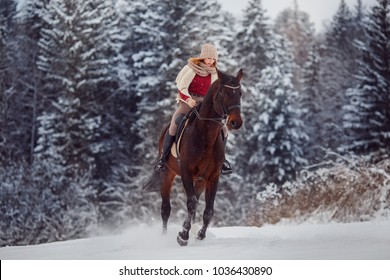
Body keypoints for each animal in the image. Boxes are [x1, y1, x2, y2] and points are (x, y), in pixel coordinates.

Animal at [145, 68, 242, 245]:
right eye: (224, 93)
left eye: (240, 93)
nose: (236, 122)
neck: (206, 136)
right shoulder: (186, 173)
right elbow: (191, 203)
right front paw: (183, 236)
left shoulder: (213, 177)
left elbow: (208, 210)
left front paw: (200, 235)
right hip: (167, 174)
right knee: (165, 209)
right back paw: (164, 237)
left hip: (200, 181)